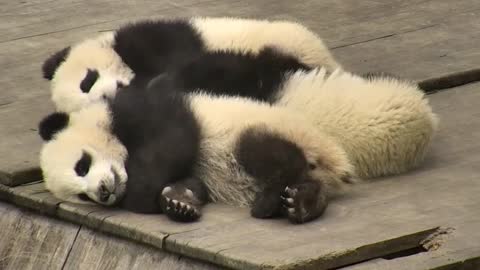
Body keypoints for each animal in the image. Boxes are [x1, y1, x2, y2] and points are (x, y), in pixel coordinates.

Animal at [39, 67, 436, 224]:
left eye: (81, 164)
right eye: (82, 196)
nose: (104, 192)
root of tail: (334, 160)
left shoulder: (149, 109)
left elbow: (174, 140)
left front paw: (147, 194)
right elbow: (187, 179)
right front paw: (179, 200)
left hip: (271, 132)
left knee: (264, 151)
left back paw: (271, 199)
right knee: (310, 181)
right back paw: (304, 202)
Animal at [42, 16, 342, 112]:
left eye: (87, 80)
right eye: (91, 100)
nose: (109, 94)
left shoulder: (152, 37)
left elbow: (177, 55)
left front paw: (161, 82)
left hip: (289, 43)